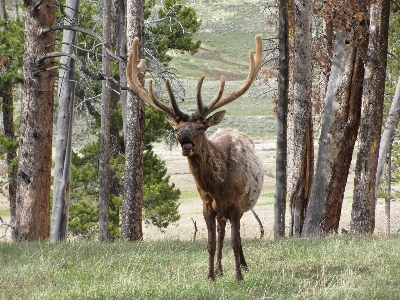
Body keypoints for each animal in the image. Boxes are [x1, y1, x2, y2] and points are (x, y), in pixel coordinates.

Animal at [126, 35, 264, 282]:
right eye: (176, 128)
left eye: (200, 127)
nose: (185, 138)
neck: (218, 185)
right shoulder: (206, 205)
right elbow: (210, 243)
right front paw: (210, 276)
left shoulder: (236, 205)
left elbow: (236, 241)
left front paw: (239, 277)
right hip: (220, 213)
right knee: (221, 232)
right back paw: (219, 269)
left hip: (241, 206)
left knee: (233, 236)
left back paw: (242, 266)